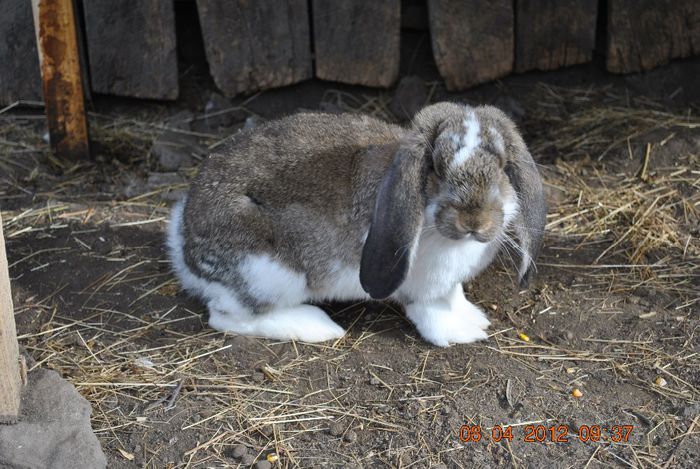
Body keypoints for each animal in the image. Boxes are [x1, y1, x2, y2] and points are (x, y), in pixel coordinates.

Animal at [165, 101, 548, 344]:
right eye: (436, 168)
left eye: (502, 166)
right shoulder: (423, 289)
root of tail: (183, 247)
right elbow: (432, 313)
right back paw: (317, 327)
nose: (474, 221)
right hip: (268, 274)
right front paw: (464, 334)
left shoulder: (448, 285)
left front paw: (475, 320)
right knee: (228, 317)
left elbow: (454, 298)